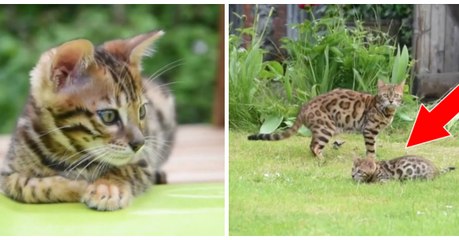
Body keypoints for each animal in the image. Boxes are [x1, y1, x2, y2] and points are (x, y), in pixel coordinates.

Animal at [250, 81, 404, 159]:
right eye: (385, 95)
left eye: (396, 95)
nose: (391, 101)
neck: (385, 110)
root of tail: (304, 107)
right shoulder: (369, 130)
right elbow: (371, 148)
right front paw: (373, 160)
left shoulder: (374, 132)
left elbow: (374, 147)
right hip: (326, 129)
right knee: (314, 146)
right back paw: (322, 160)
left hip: (321, 130)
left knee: (312, 145)